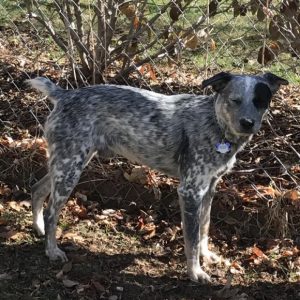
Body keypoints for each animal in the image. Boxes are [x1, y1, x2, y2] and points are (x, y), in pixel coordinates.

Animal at [28, 71, 288, 282]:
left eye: (260, 101)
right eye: (234, 100)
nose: (248, 123)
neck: (215, 123)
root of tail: (64, 95)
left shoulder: (210, 187)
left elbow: (204, 227)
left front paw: (207, 256)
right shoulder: (190, 191)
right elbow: (192, 239)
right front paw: (195, 272)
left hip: (65, 164)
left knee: (37, 189)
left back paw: (39, 228)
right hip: (70, 167)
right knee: (52, 211)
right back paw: (52, 250)